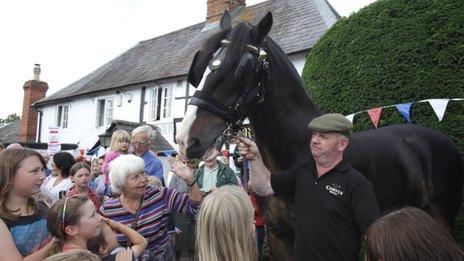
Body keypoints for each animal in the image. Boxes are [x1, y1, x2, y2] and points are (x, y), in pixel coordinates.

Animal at [175, 11, 464, 258]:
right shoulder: (280, 238)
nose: (187, 138)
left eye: (242, 68)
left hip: (441, 216)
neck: (297, 152)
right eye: (202, 67)